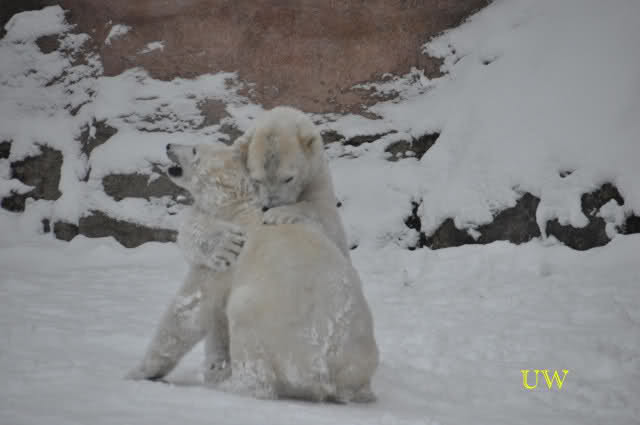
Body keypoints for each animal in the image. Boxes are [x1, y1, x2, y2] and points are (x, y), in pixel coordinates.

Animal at [130, 141, 378, 402]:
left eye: (195, 149)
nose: (168, 145)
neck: (238, 205)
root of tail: (328, 373)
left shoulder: (226, 264)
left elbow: (189, 309)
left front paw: (141, 371)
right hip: (355, 364)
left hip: (279, 331)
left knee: (247, 332)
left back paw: (232, 385)